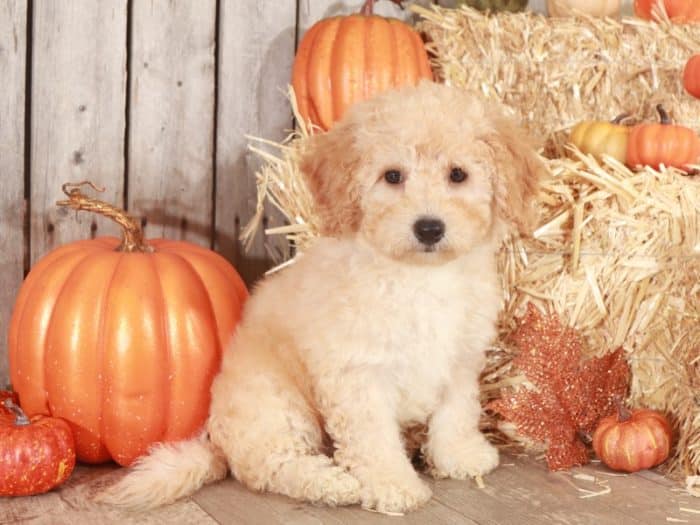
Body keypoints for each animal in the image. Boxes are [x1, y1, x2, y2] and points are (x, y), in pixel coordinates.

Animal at [101, 81, 544, 512]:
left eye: (457, 174)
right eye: (393, 176)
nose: (429, 228)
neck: (420, 275)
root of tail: (216, 439)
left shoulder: (460, 359)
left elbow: (456, 411)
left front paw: (459, 456)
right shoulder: (357, 373)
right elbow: (374, 439)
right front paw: (392, 485)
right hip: (274, 405)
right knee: (270, 465)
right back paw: (332, 483)